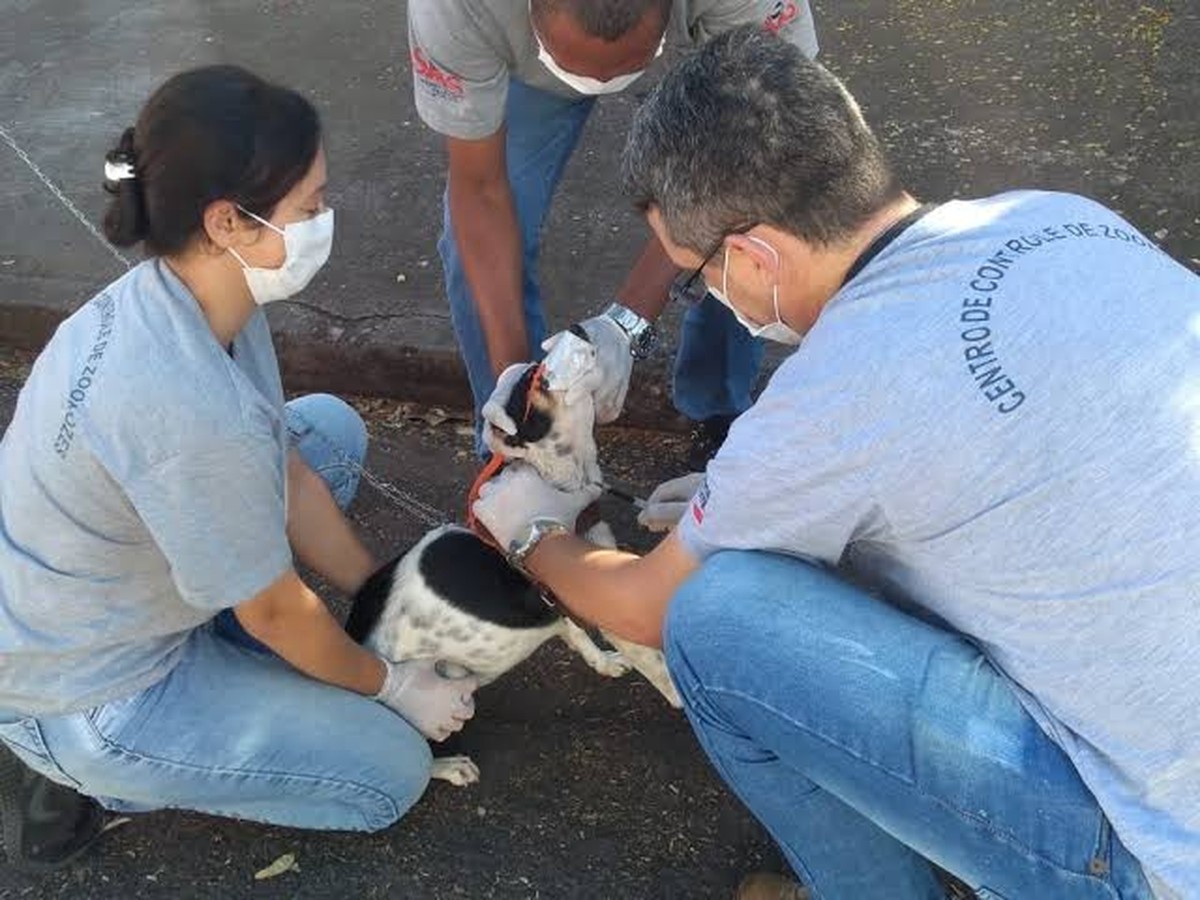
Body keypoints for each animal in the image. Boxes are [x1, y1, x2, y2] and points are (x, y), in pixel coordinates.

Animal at [348, 340, 681, 787]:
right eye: (536, 381)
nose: (577, 334)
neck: (564, 482)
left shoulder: (571, 591)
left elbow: (578, 635)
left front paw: (604, 662)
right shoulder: (607, 604)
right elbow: (655, 664)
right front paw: (681, 696)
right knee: (415, 752)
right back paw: (448, 766)